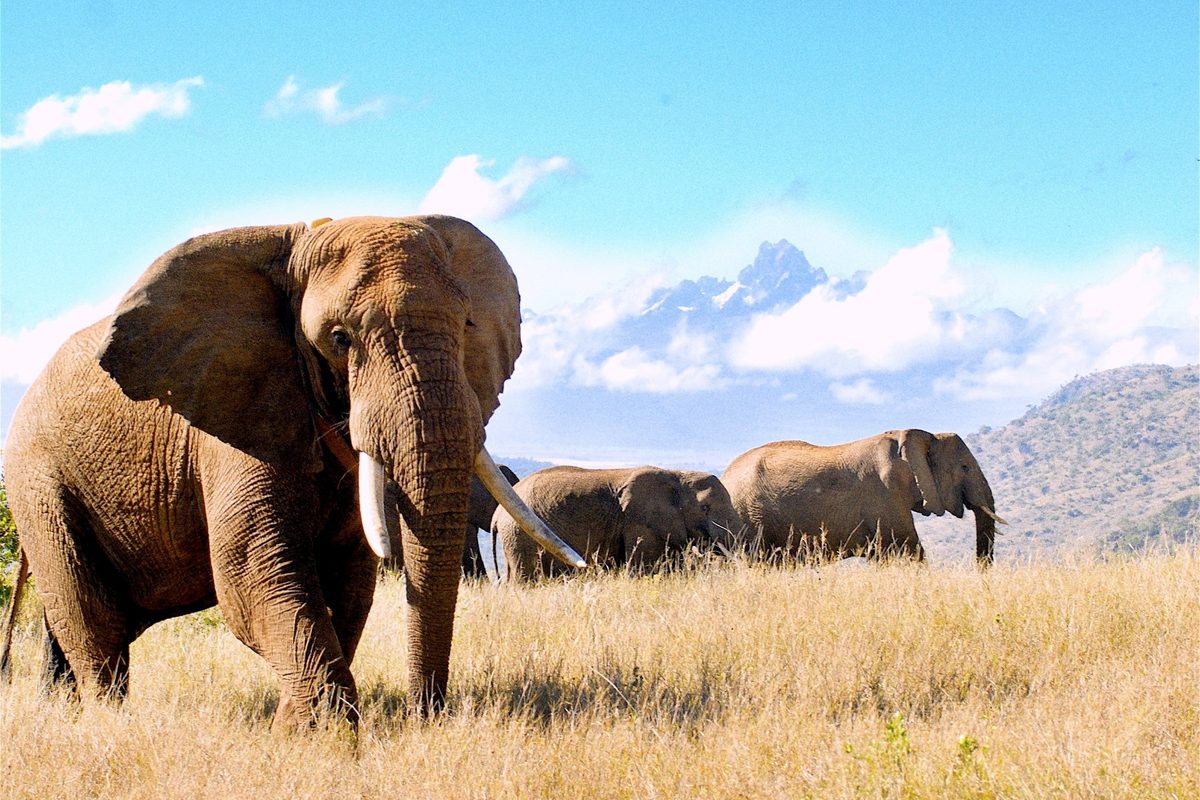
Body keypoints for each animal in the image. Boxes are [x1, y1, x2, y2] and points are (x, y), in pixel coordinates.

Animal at [0, 215, 582, 730]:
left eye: (466, 326)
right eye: (341, 339)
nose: (428, 716)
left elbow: (349, 582)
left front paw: (294, 726)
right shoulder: (234, 414)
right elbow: (252, 572)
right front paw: (321, 734)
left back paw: (61, 714)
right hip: (39, 480)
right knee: (90, 617)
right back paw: (108, 725)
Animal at [495, 466, 742, 582]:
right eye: (705, 508)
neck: (677, 475)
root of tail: (497, 516)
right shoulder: (640, 520)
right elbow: (646, 568)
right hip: (520, 534)